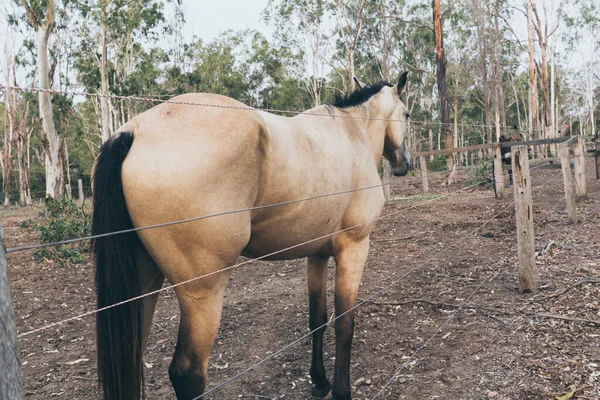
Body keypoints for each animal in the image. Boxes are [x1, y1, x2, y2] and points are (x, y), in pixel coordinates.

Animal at [92, 72, 412, 400]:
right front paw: (340, 390)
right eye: (407, 114)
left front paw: (320, 381)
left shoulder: (317, 254)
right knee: (187, 374)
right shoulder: (354, 248)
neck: (351, 132)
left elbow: (317, 320)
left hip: (144, 284)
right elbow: (345, 324)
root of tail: (133, 131)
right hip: (202, 293)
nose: (405, 164)